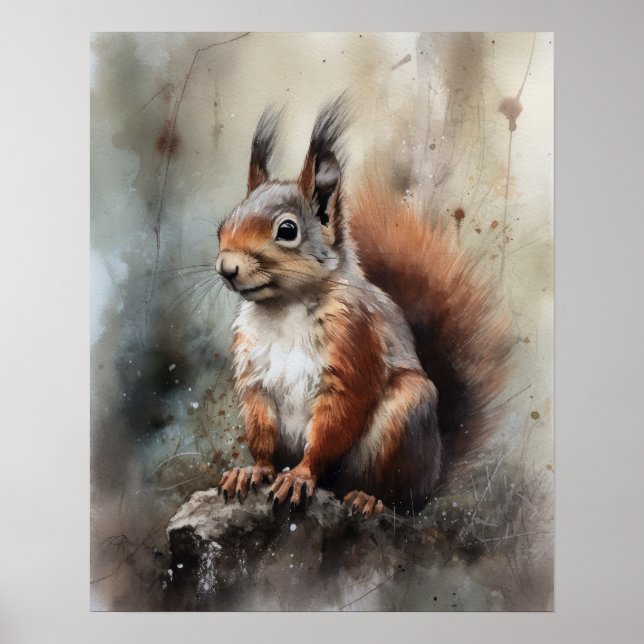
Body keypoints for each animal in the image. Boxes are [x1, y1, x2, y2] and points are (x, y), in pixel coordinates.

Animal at [215, 95, 512, 517]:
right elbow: (261, 429)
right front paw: (254, 470)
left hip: (406, 414)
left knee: (396, 499)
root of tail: (435, 473)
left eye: (287, 230)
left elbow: (337, 420)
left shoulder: (355, 342)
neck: (283, 308)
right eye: (222, 226)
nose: (226, 268)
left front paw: (300, 476)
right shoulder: (255, 375)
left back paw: (368, 498)